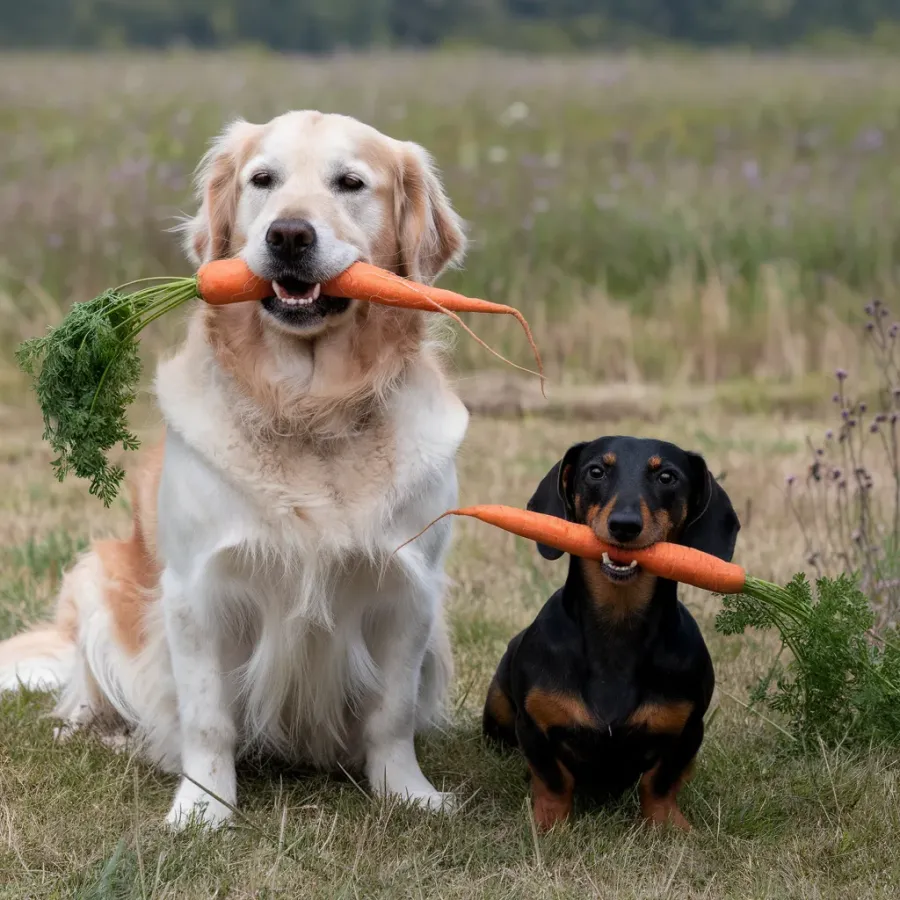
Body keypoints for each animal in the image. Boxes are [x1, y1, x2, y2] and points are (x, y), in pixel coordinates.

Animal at [3, 112, 472, 828]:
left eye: (350, 183)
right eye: (263, 180)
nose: (288, 235)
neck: (309, 411)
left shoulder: (409, 589)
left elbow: (391, 715)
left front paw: (408, 794)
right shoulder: (198, 590)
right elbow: (207, 718)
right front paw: (203, 808)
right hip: (95, 578)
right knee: (91, 690)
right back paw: (103, 733)